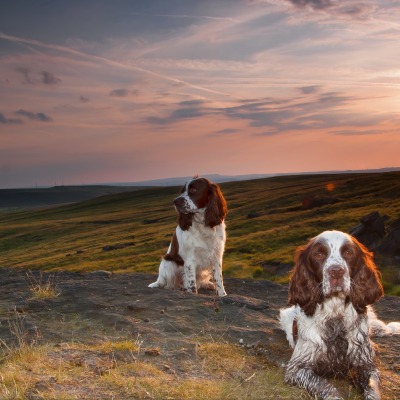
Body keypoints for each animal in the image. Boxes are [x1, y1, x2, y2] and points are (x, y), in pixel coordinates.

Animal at [280, 231, 398, 400]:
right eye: (319, 254)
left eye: (348, 253)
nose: (336, 271)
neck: (335, 314)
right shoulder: (297, 368)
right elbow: (326, 386)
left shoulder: (366, 365)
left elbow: (372, 389)